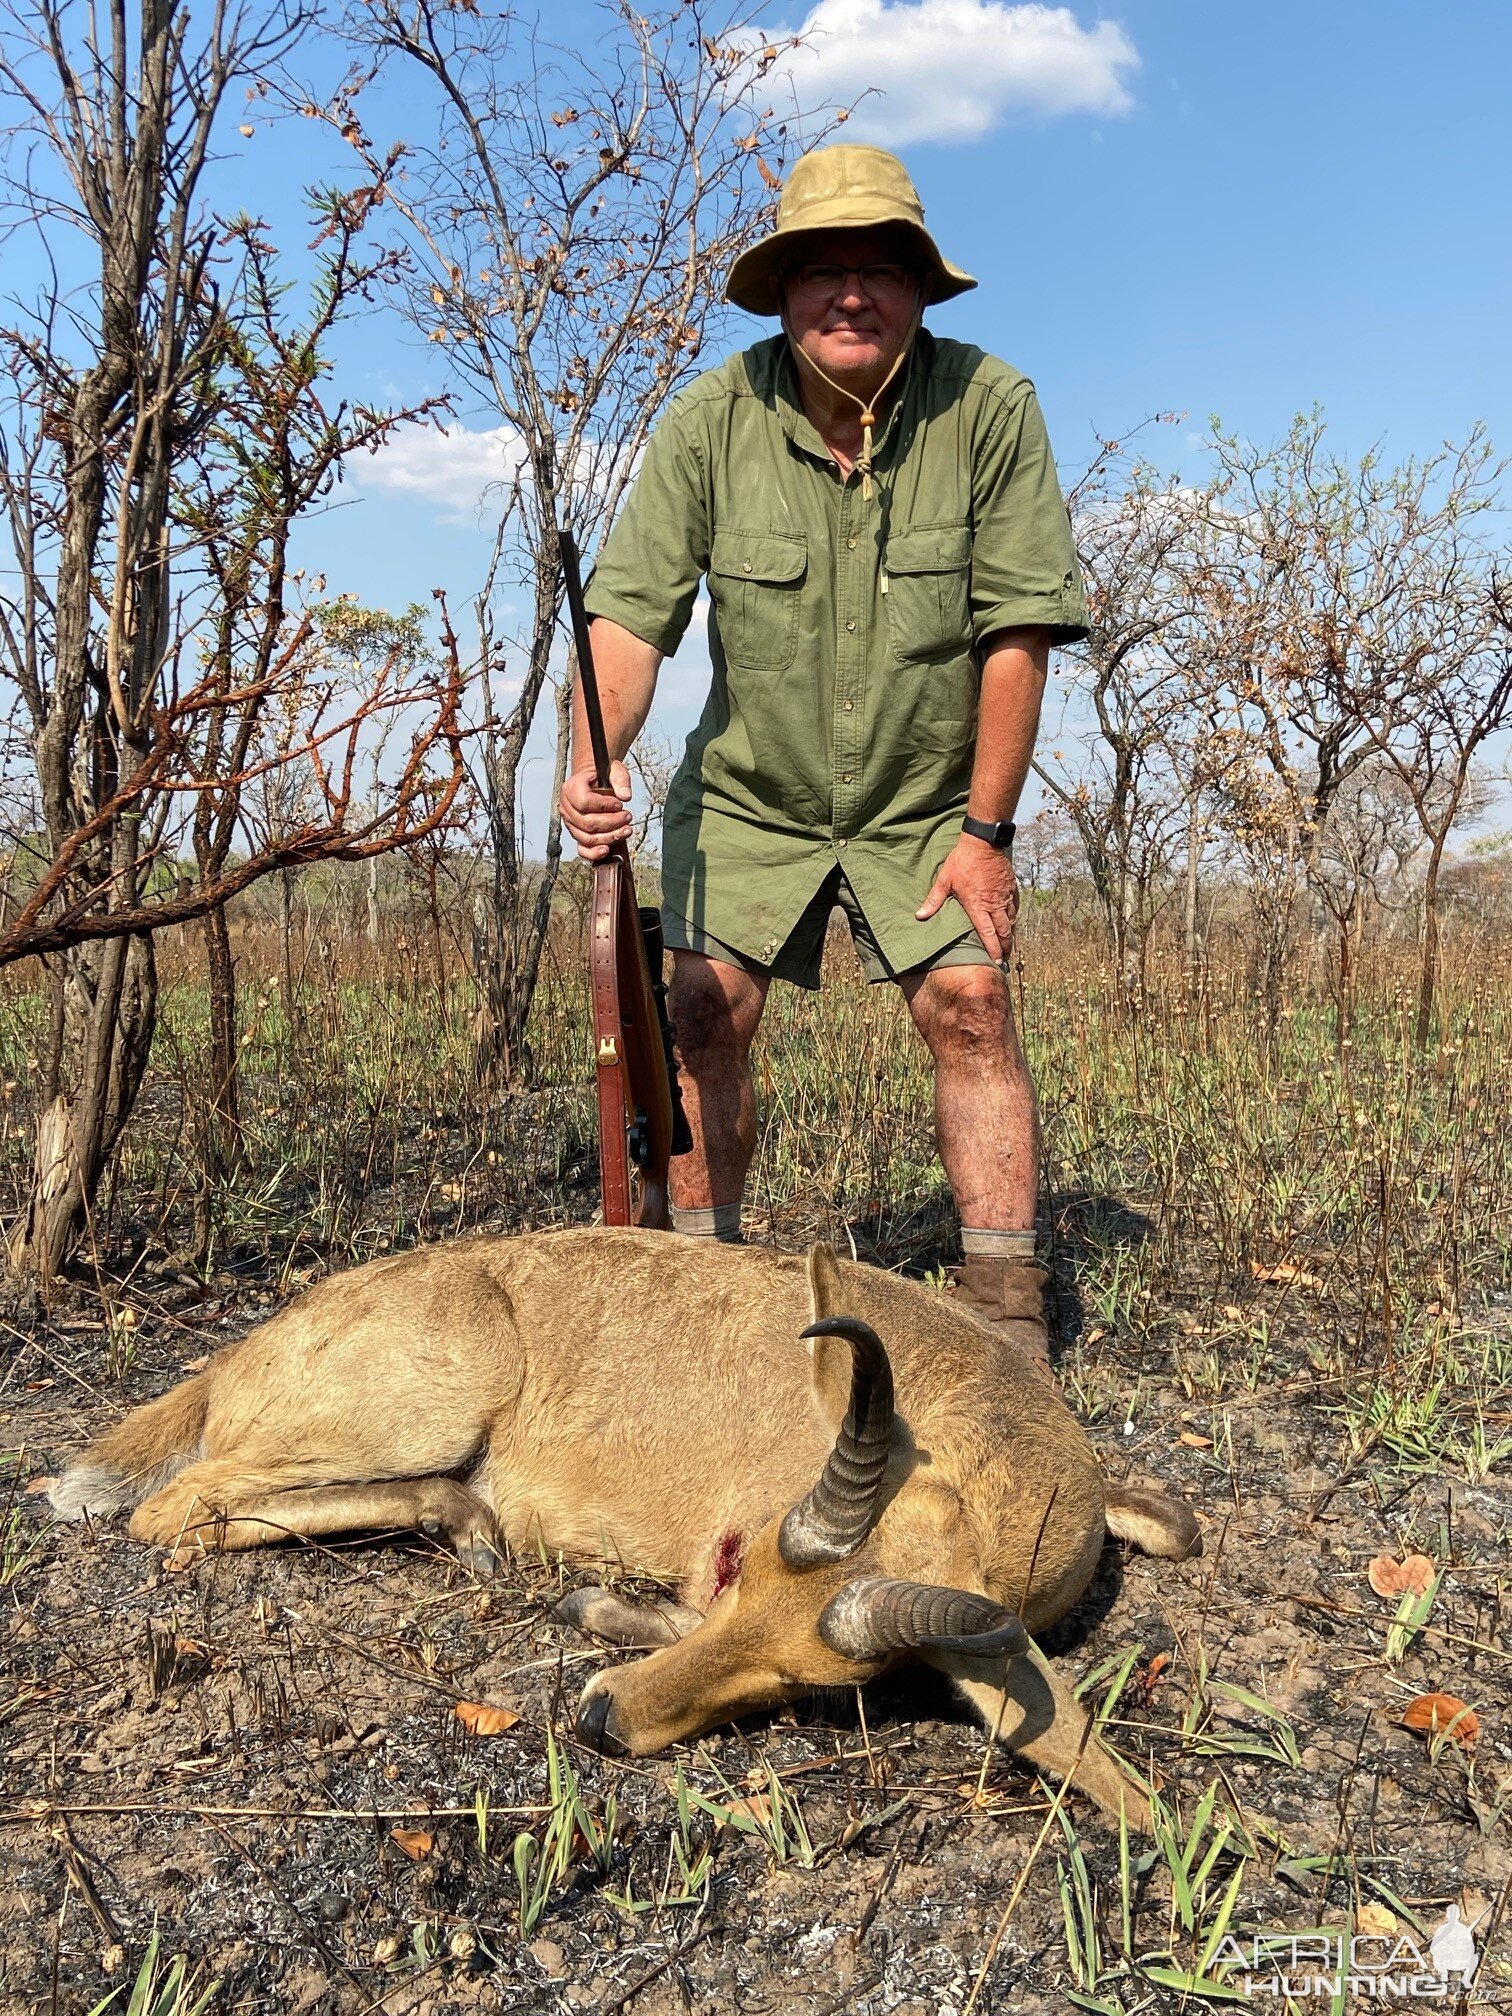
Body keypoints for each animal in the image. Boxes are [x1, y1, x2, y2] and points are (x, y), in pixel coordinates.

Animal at [53, 1225, 1201, 1830]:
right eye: (740, 1567)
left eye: (827, 1685)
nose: (600, 1719)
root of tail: (235, 1358)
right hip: (425, 1407)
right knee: (174, 1509)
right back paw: (470, 1525)